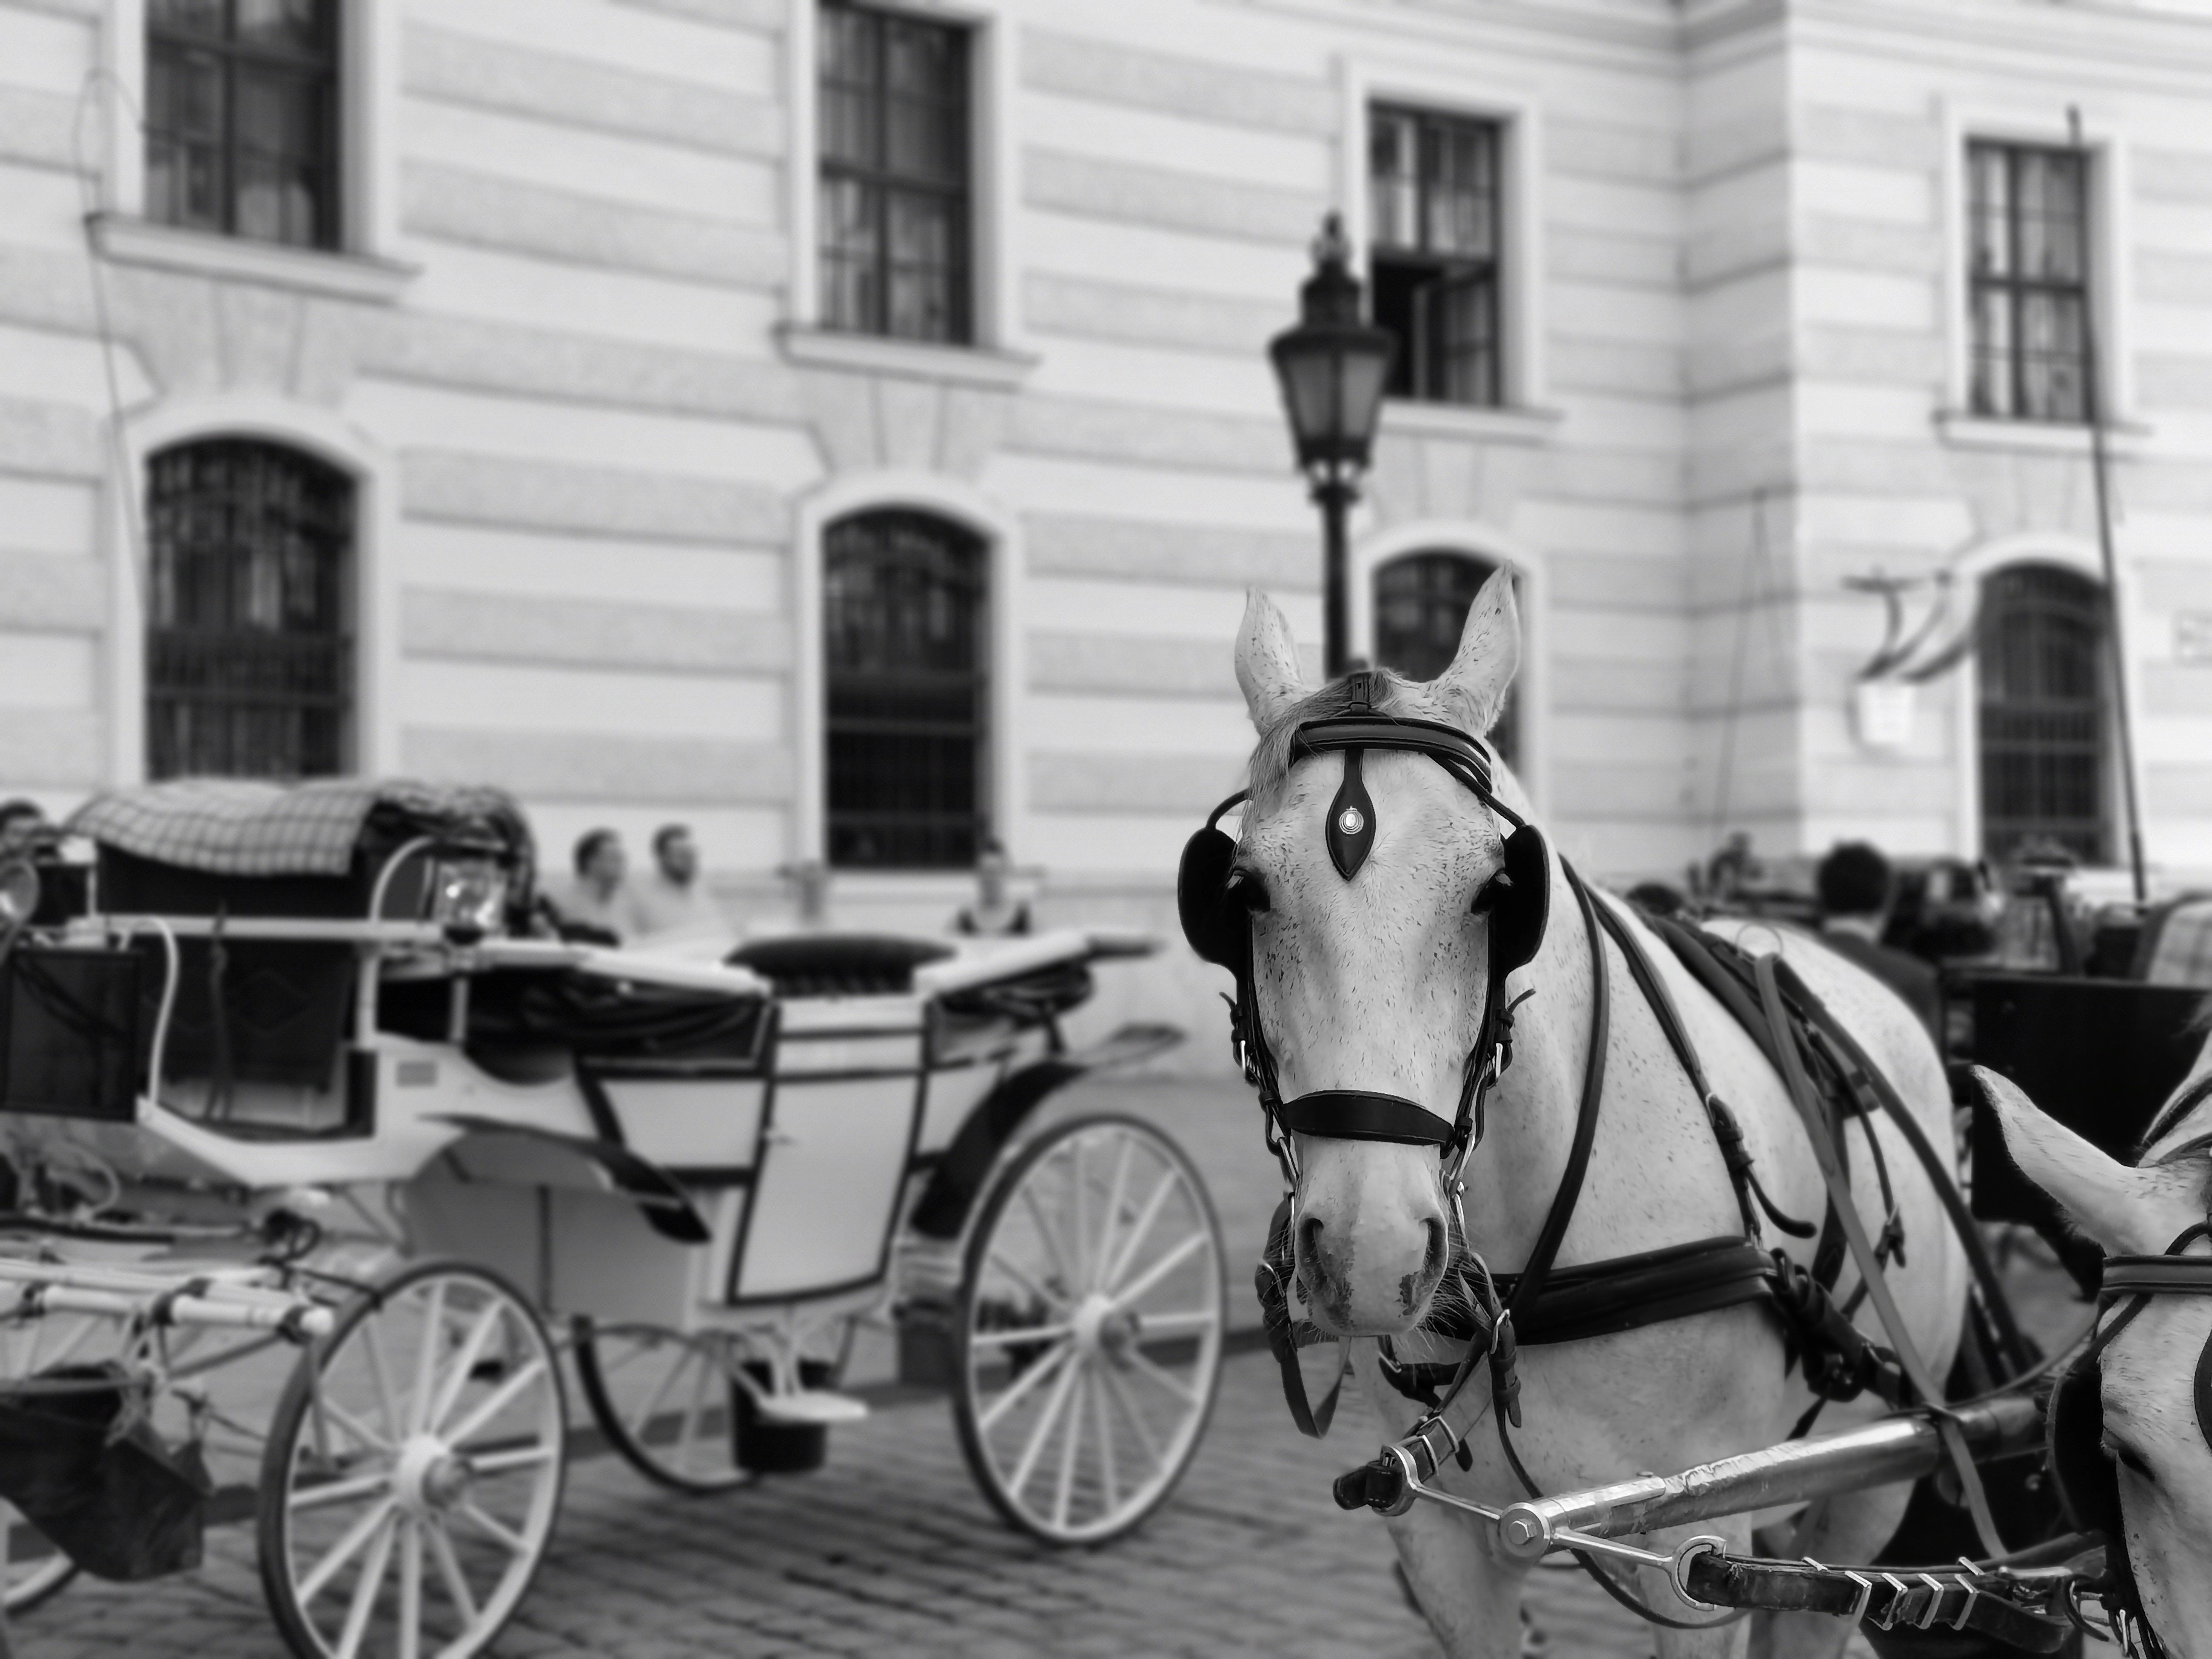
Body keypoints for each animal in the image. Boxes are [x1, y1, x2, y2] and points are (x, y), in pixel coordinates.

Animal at [1212, 569, 1970, 1659]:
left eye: (1498, 889)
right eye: (1241, 889)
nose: (1368, 1247)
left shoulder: (1698, 1541)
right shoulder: (1443, 1544)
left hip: (1874, 1476)